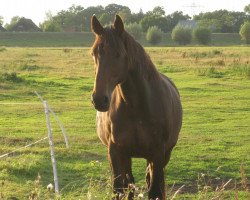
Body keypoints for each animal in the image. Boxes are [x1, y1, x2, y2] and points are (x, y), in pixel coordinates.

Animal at [90, 14, 182, 199]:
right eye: (94, 53)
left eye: (118, 54)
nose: (99, 99)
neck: (137, 108)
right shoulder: (116, 153)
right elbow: (119, 189)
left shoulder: (158, 153)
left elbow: (154, 190)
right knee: (129, 183)